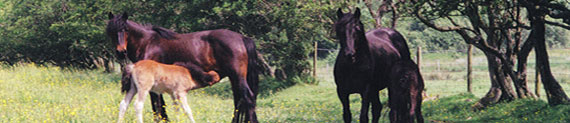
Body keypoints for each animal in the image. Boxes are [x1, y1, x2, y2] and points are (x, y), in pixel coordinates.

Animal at [106, 12, 260, 122]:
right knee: (239, 101)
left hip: (238, 77)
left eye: (125, 29)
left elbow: (157, 105)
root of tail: (242, 38)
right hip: (234, 78)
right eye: (111, 31)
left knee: (248, 98)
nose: (121, 52)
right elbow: (161, 105)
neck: (147, 42)